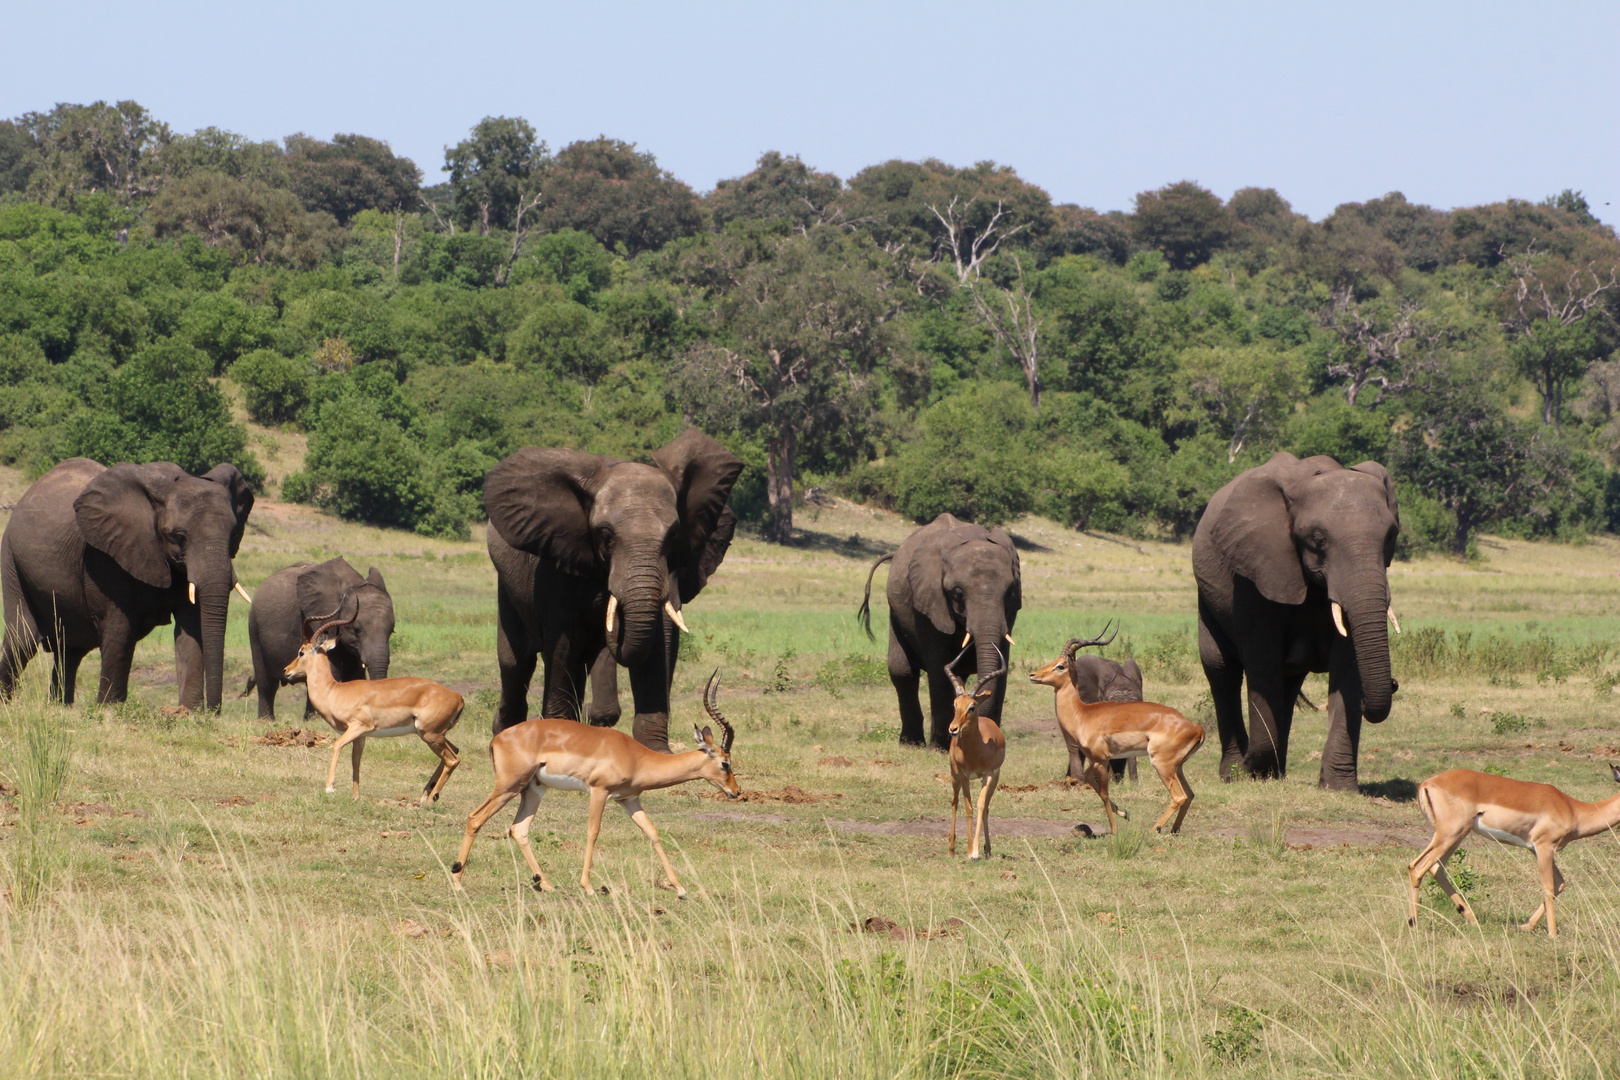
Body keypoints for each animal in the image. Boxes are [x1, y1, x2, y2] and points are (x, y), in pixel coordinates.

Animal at [0, 459, 252, 712]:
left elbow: (191, 629)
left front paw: (188, 713)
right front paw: (109, 710)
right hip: (11, 559)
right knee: (23, 639)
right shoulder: (104, 555)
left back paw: (61, 708)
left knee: (70, 650)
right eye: (179, 537)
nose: (214, 711)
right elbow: (120, 630)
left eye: (234, 534)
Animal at [241, 563, 396, 722]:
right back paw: (266, 721)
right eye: (356, 630)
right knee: (266, 683)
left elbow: (354, 673)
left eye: (392, 631)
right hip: (254, 628)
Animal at [482, 427, 741, 751]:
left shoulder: (670, 571)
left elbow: (660, 643)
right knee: (516, 662)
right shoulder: (555, 565)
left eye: (673, 535)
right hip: (507, 586)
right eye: (605, 534)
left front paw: (656, 752)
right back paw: (506, 733)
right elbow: (562, 644)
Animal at [855, 514, 1017, 751]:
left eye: (1010, 591)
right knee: (902, 672)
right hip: (896, 610)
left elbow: (1000, 669)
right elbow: (939, 671)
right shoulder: (931, 603)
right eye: (958, 592)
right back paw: (911, 743)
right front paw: (941, 747)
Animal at [1192, 453, 1406, 790]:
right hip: (1207, 595)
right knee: (1221, 669)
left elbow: (1348, 664)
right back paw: (1236, 772)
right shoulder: (1255, 571)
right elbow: (1262, 662)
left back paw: (1272, 771)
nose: (1395, 683)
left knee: (1288, 681)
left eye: (1390, 536)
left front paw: (1338, 789)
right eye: (1317, 539)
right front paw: (1251, 771)